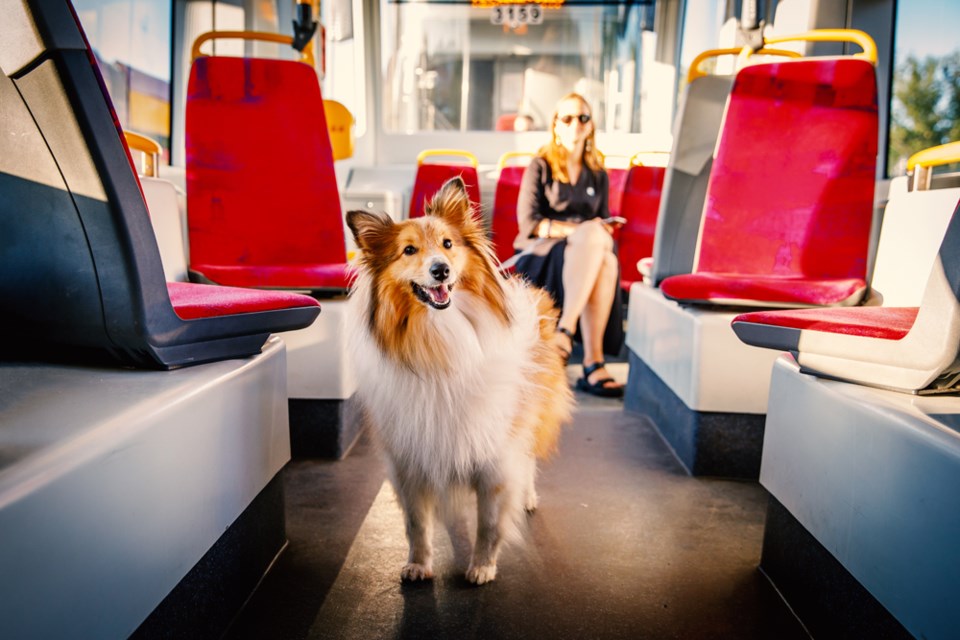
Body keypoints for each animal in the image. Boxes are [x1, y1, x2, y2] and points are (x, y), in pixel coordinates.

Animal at [344, 175, 568, 584]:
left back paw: (527, 497)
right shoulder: (410, 459)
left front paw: (481, 567)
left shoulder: (495, 454)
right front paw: (419, 565)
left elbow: (490, 521)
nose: (441, 270)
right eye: (409, 250)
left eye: (448, 244)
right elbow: (416, 523)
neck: (439, 336)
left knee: (528, 461)